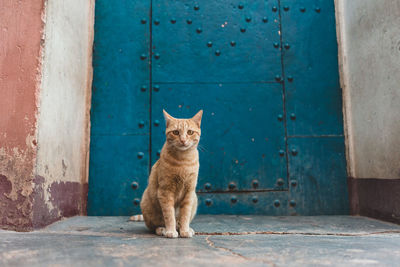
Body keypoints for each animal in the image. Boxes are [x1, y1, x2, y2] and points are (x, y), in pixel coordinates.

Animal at [139, 110, 202, 240]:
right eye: (176, 132)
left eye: (190, 132)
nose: (183, 140)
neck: (184, 161)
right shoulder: (165, 192)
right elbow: (169, 215)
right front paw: (170, 231)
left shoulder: (189, 192)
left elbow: (185, 215)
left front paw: (184, 230)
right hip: (146, 202)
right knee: (153, 226)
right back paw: (162, 229)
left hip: (195, 199)